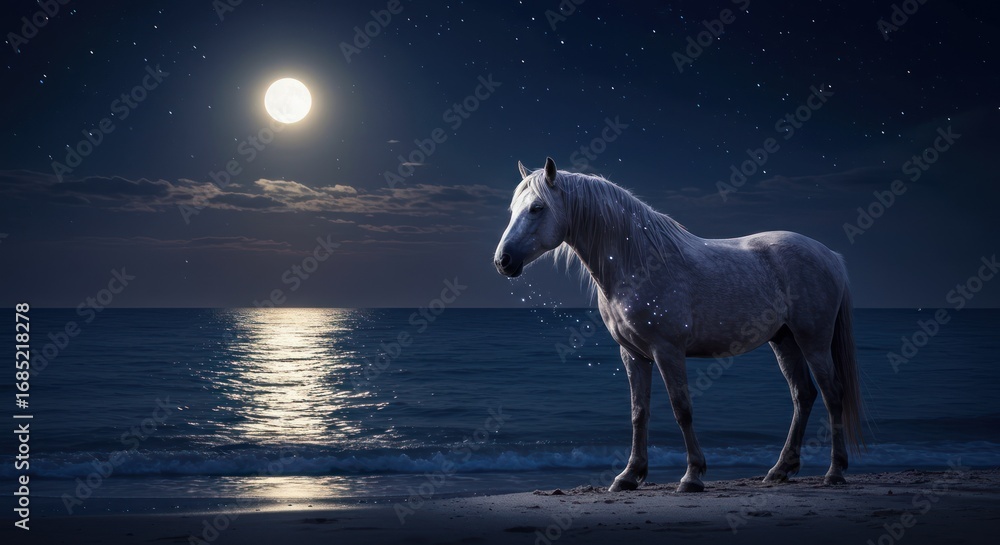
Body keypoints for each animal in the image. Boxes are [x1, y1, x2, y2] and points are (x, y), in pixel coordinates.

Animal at [493, 157, 863, 493]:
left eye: (537, 208)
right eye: (512, 209)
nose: (503, 261)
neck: (638, 263)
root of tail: (829, 255)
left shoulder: (667, 351)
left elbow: (681, 409)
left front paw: (692, 476)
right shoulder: (633, 355)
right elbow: (638, 413)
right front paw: (629, 476)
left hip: (813, 341)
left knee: (832, 394)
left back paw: (835, 472)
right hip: (784, 340)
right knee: (803, 395)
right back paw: (780, 470)